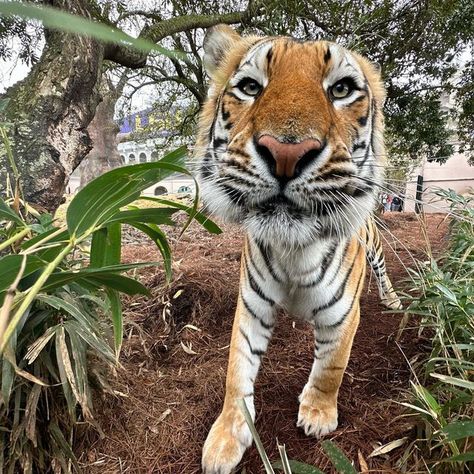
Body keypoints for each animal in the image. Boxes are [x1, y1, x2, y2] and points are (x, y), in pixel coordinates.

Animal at [194, 26, 402, 474]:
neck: (293, 250)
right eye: (250, 87)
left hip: (375, 249)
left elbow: (330, 367)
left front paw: (318, 414)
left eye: (341, 89)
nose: (286, 153)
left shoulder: (344, 315)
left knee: (382, 272)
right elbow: (237, 371)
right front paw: (224, 439)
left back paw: (392, 299)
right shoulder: (251, 306)